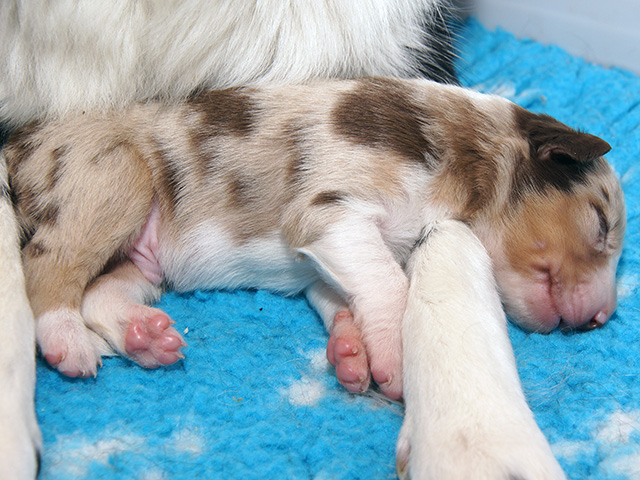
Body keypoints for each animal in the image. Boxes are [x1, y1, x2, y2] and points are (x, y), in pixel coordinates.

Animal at [0, 2, 459, 477]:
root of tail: (18, 143)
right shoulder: (332, 217)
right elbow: (386, 283)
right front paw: (390, 357)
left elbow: (344, 291)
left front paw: (351, 349)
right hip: (113, 180)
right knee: (45, 271)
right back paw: (68, 342)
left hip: (141, 256)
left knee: (99, 293)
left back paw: (144, 338)